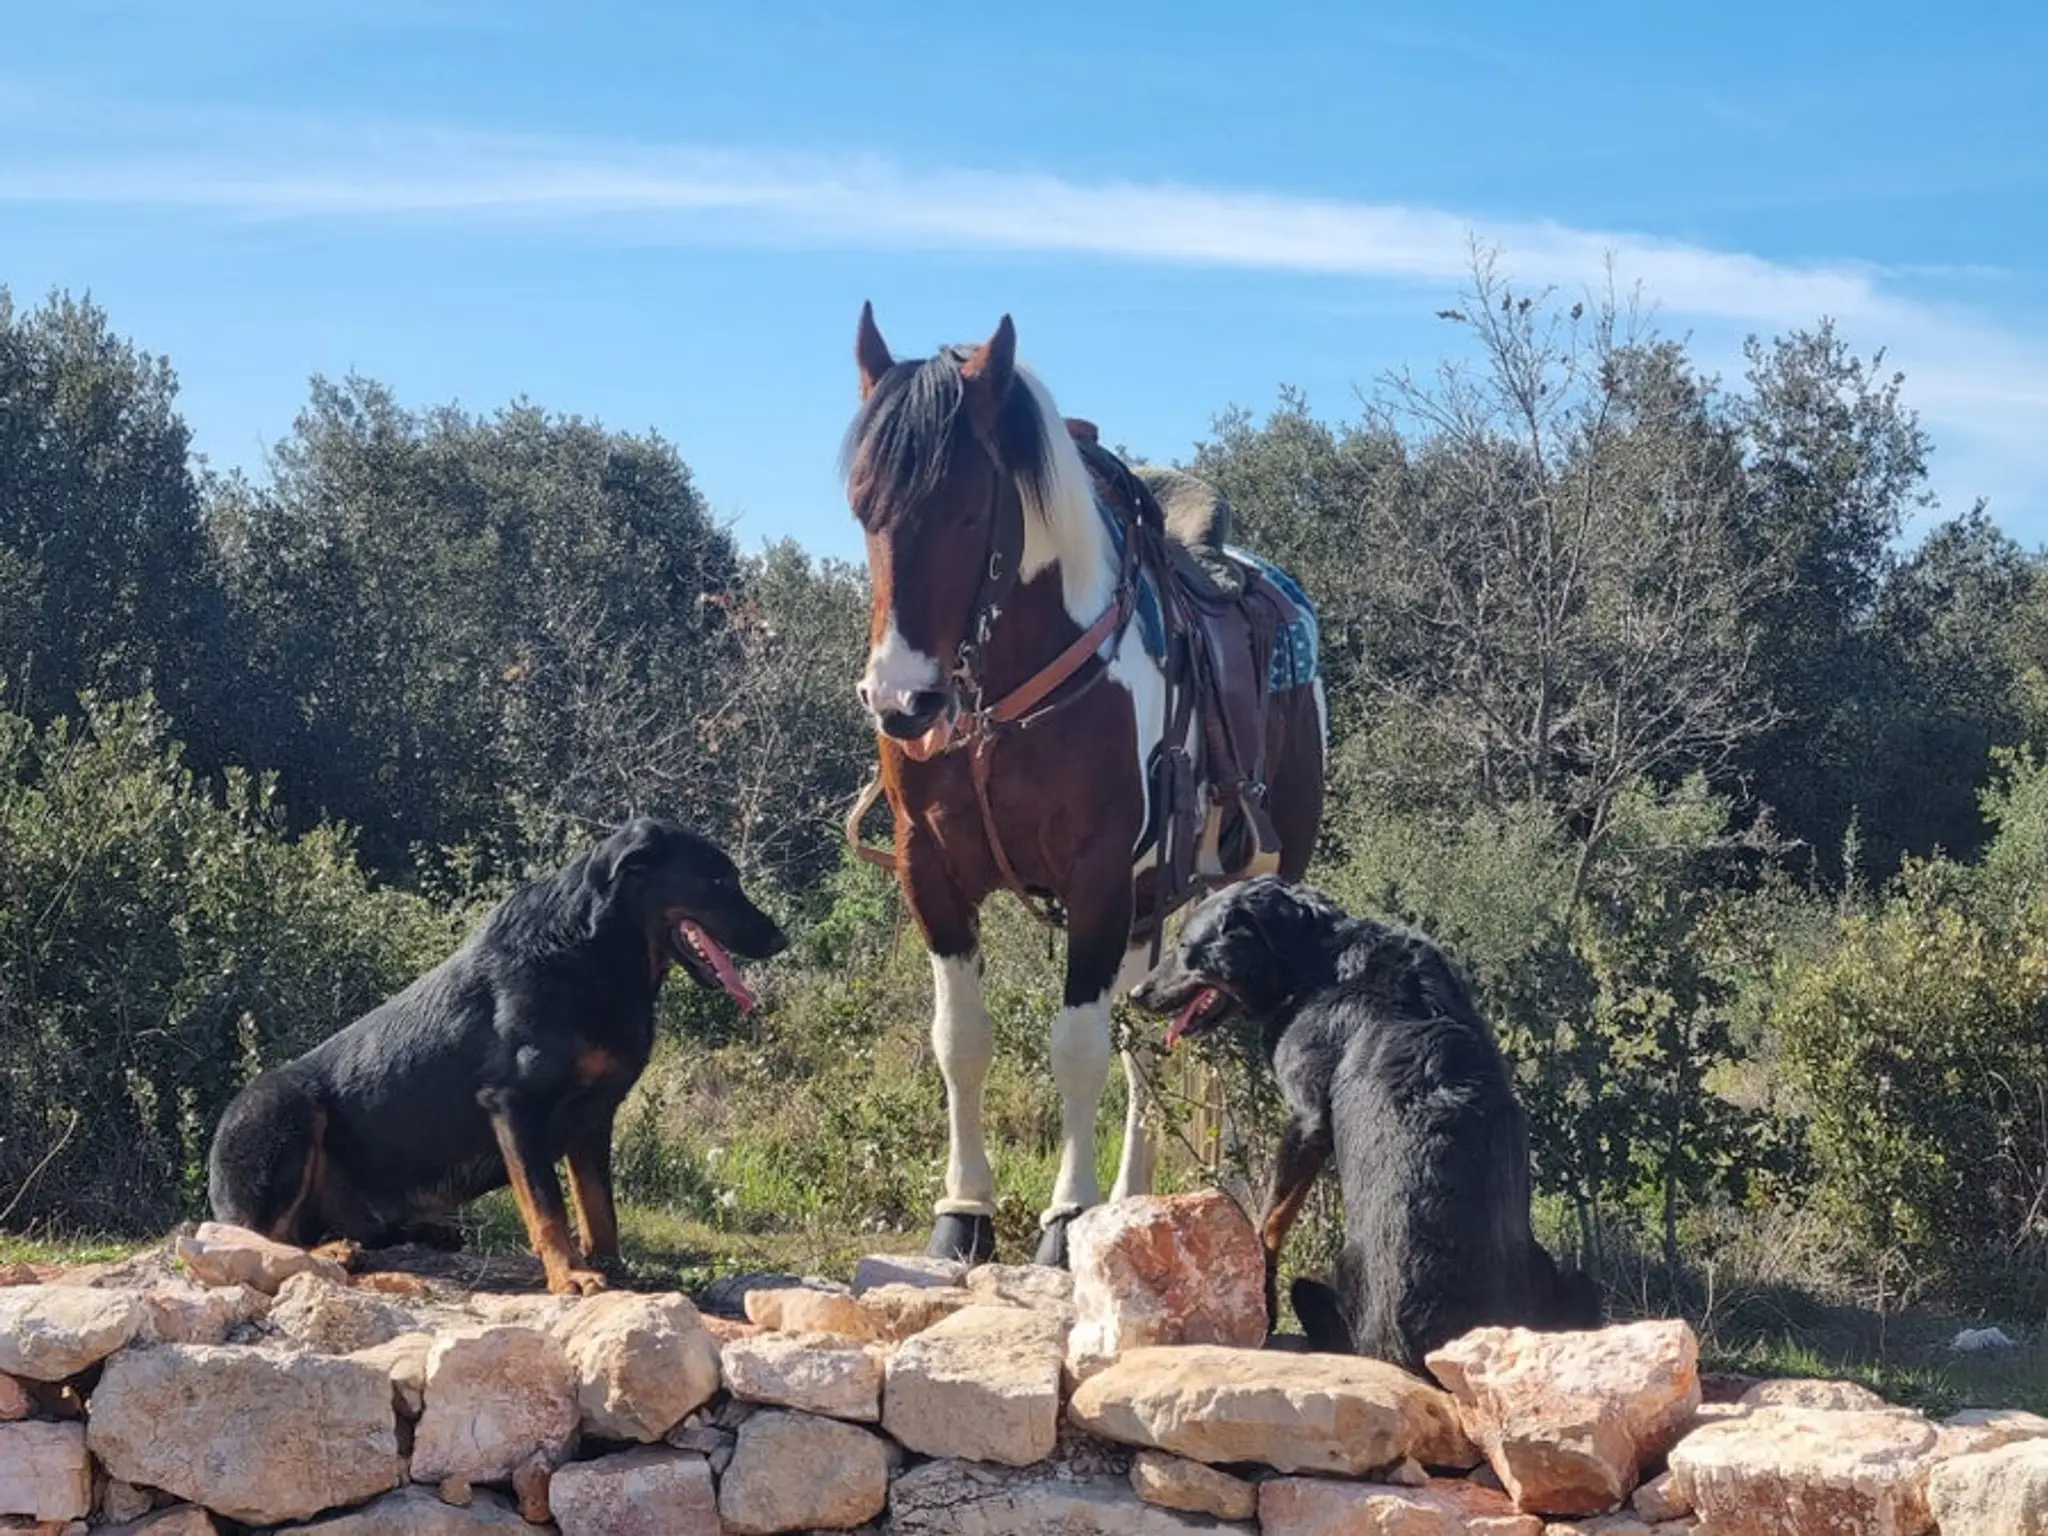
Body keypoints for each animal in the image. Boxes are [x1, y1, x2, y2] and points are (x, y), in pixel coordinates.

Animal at [839, 305, 1327, 1265]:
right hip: (1149, 907)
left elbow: (1076, 1047)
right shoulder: (931, 871)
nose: (902, 703)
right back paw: (1135, 1202)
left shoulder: (1095, 876)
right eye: (863, 506)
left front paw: (1067, 1219)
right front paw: (964, 1212)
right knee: (1149, 1042)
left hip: (1244, 881)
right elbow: (962, 1040)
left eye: (965, 511)